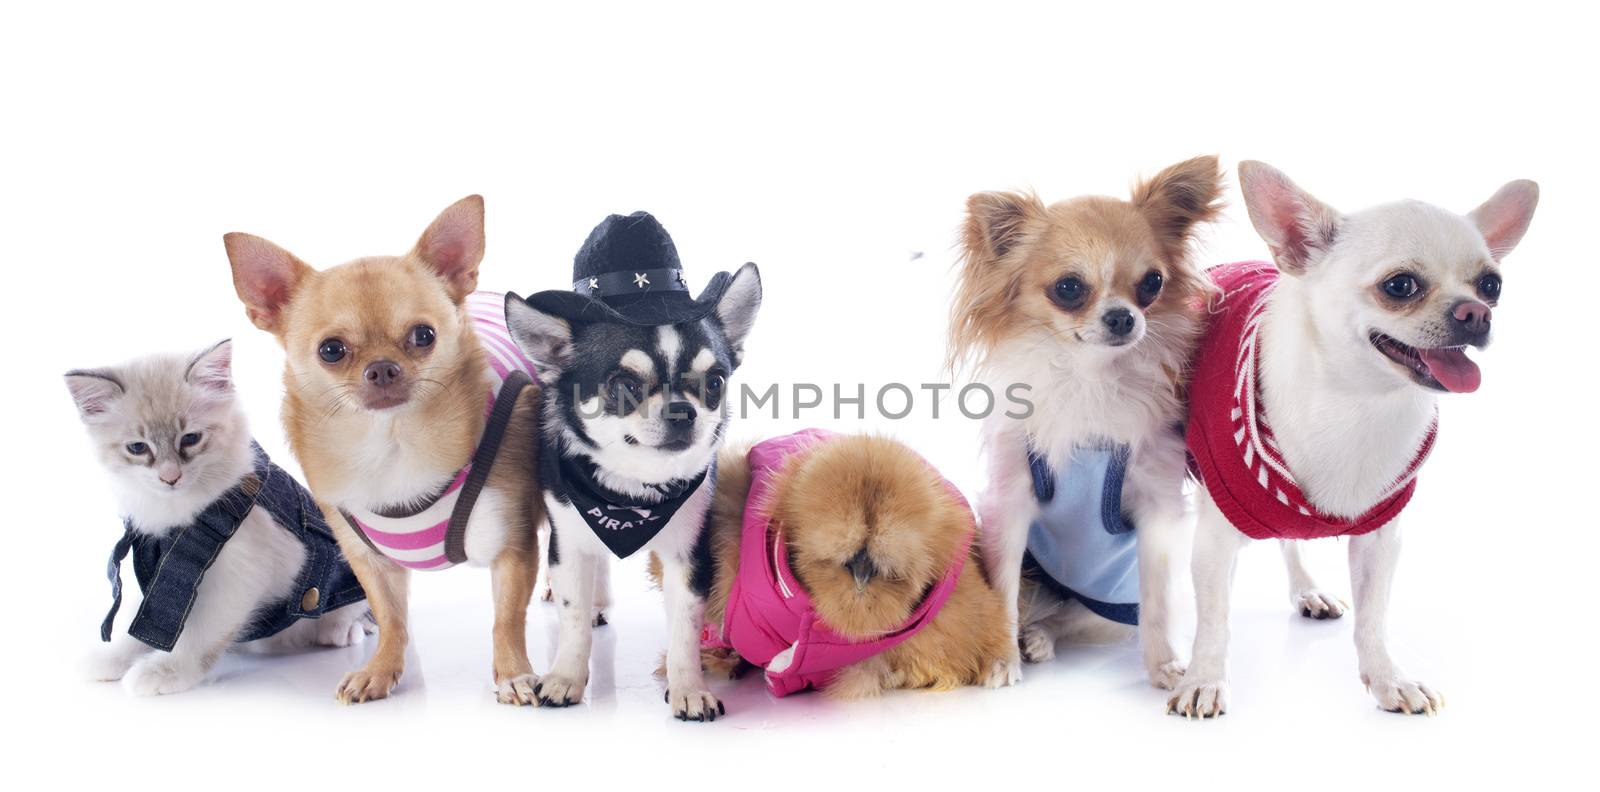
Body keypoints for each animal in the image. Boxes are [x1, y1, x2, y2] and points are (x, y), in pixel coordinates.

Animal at [68, 337, 368, 697]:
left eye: (190, 439)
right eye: (138, 448)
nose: (170, 477)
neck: (179, 514)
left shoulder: (234, 578)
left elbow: (195, 638)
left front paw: (164, 672)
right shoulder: (152, 568)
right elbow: (135, 625)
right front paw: (110, 659)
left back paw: (340, 631)